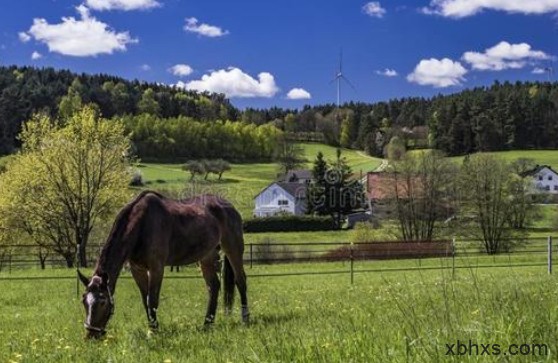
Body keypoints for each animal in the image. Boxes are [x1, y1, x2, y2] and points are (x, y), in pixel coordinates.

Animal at [76, 192, 249, 340]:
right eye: (84, 301)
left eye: (102, 302)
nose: (91, 335)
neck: (141, 225)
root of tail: (229, 206)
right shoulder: (137, 270)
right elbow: (145, 300)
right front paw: (152, 327)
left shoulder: (156, 268)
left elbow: (152, 301)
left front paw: (153, 332)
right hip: (207, 256)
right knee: (213, 286)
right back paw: (207, 324)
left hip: (232, 248)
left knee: (240, 281)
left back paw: (245, 319)